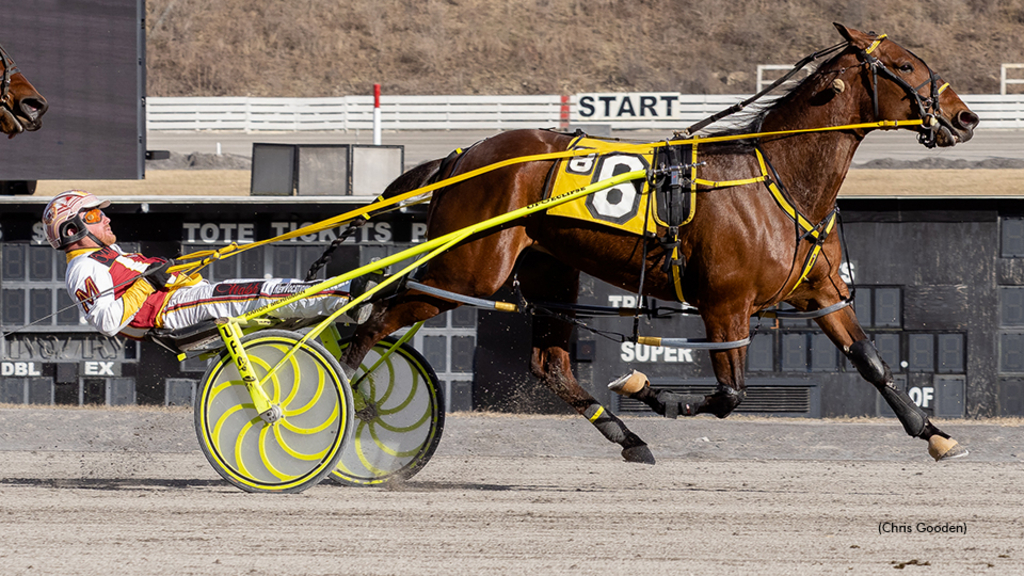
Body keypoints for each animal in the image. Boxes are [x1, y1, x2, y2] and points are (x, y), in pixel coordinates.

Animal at [339, 24, 978, 461]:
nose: (965, 117)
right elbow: (729, 395)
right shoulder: (725, 304)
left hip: (546, 268)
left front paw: (933, 433)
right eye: (905, 65)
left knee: (550, 364)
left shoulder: (821, 292)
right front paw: (653, 392)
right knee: (372, 320)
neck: (777, 175)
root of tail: (461, 154)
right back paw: (340, 401)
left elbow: (871, 361)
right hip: (465, 270)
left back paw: (625, 436)